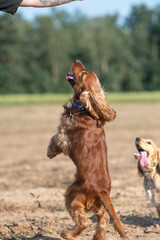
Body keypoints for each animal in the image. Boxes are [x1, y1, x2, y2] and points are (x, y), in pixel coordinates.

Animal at [47, 60, 125, 240]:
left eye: (82, 74)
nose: (77, 61)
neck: (86, 111)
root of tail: (102, 191)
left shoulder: (64, 134)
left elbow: (55, 139)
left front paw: (49, 152)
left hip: (71, 197)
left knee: (83, 222)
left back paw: (67, 234)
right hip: (101, 208)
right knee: (102, 222)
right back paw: (96, 237)